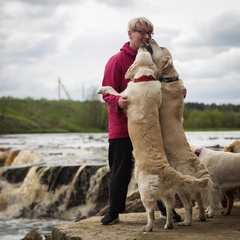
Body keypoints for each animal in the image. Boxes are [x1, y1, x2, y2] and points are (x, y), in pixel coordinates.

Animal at [96, 46, 207, 232]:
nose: (144, 44)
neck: (145, 78)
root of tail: (165, 169)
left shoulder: (125, 95)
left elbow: (113, 90)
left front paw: (102, 89)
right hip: (169, 191)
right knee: (170, 206)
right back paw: (172, 223)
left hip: (145, 191)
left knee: (152, 210)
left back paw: (148, 227)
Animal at [149, 38, 213, 226]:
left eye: (161, 47)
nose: (151, 38)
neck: (169, 78)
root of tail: (195, 162)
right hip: (193, 185)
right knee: (199, 200)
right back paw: (201, 217)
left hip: (182, 187)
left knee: (189, 205)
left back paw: (186, 222)